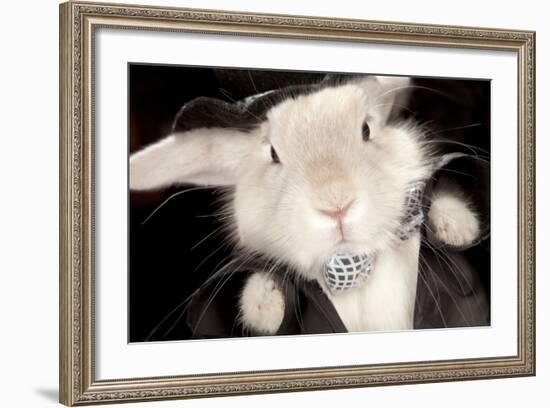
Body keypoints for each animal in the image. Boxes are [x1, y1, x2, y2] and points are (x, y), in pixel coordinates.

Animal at [130, 75, 484, 336]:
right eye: (272, 153)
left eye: (366, 129)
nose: (336, 205)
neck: (356, 267)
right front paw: (263, 306)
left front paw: (457, 227)